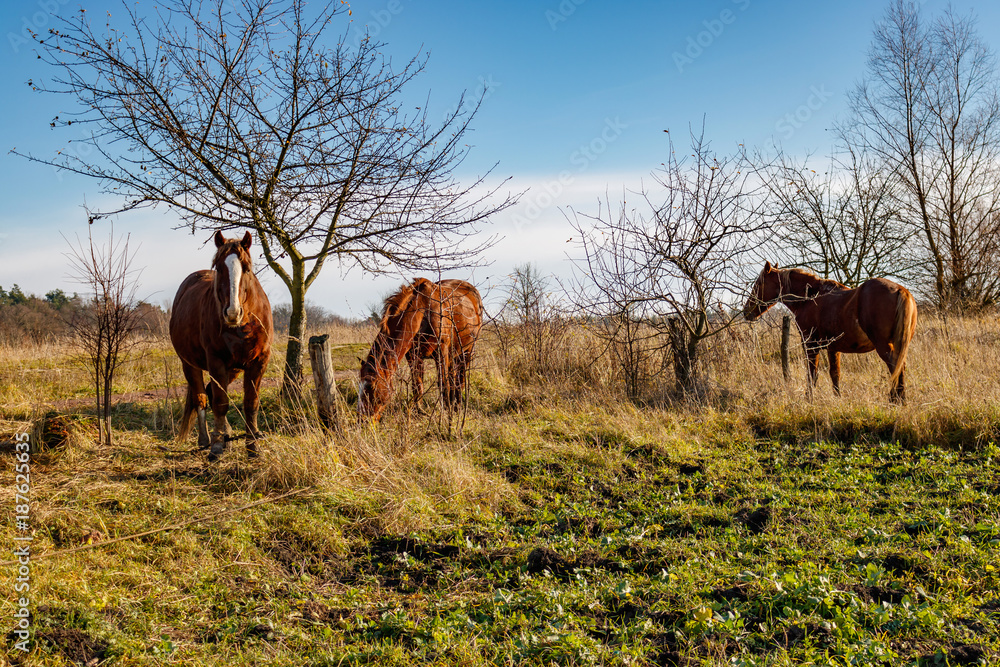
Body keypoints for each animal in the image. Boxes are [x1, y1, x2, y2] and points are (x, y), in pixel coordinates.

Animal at [169, 231, 273, 461]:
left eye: (247, 268)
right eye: (219, 267)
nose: (232, 312)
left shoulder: (258, 362)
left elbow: (251, 403)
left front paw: (253, 447)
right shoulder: (216, 362)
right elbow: (220, 403)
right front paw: (216, 448)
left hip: (232, 369)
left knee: (209, 391)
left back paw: (227, 438)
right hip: (190, 364)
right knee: (201, 397)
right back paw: (207, 440)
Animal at [359, 278, 483, 421]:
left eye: (372, 387)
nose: (362, 419)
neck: (423, 313)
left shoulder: (441, 352)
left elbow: (443, 383)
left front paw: (446, 413)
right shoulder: (413, 355)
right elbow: (417, 385)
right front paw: (419, 412)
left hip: (467, 351)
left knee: (460, 379)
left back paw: (457, 406)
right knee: (454, 378)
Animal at [743, 262, 918, 403]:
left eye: (759, 284)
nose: (747, 312)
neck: (810, 298)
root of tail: (900, 290)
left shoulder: (810, 345)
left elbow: (812, 374)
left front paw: (809, 399)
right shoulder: (833, 348)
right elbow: (835, 374)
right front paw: (837, 398)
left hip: (883, 346)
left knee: (895, 367)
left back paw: (896, 400)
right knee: (900, 367)